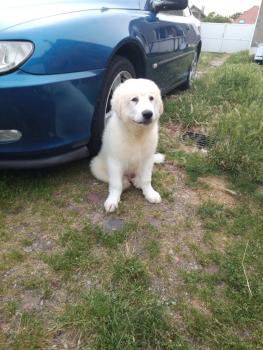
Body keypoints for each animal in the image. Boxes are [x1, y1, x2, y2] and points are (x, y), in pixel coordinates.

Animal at [91, 78, 165, 212]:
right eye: (134, 99)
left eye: (151, 98)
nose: (148, 114)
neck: (136, 134)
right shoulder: (115, 161)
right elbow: (115, 184)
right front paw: (112, 200)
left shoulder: (147, 159)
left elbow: (147, 179)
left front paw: (150, 193)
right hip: (96, 165)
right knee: (111, 178)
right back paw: (125, 182)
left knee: (139, 175)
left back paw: (137, 181)